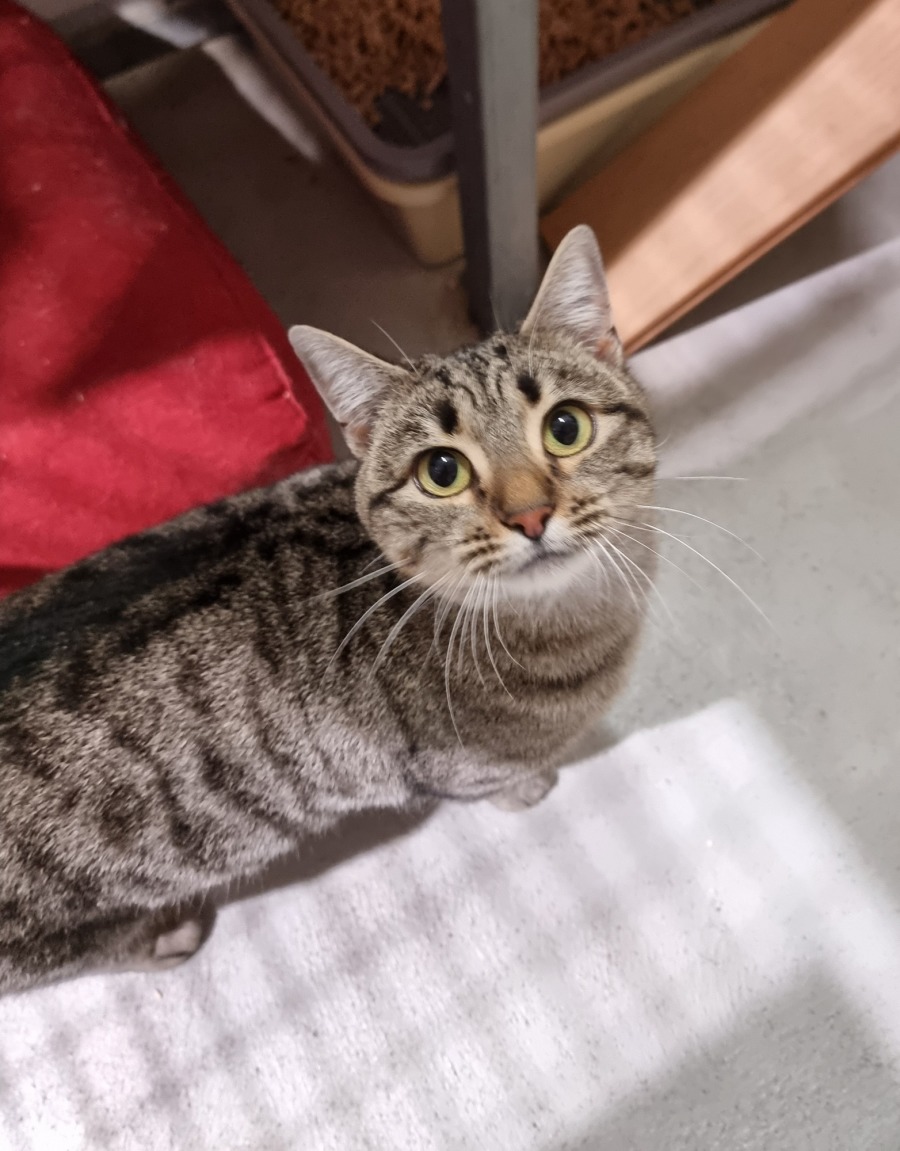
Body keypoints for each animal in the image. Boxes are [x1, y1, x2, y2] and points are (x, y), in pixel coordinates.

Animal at [0, 225, 656, 995]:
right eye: (442, 471)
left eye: (565, 427)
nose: (530, 515)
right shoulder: (453, 766)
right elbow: (496, 782)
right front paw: (532, 787)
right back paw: (161, 937)